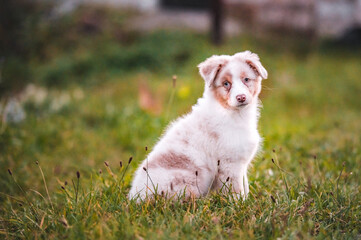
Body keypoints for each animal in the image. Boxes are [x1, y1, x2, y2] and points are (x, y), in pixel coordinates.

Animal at [129, 51, 268, 201]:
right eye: (226, 83)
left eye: (246, 79)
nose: (241, 97)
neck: (233, 113)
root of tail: (135, 198)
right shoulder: (229, 164)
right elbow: (236, 189)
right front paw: (239, 203)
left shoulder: (240, 163)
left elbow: (245, 185)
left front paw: (247, 201)